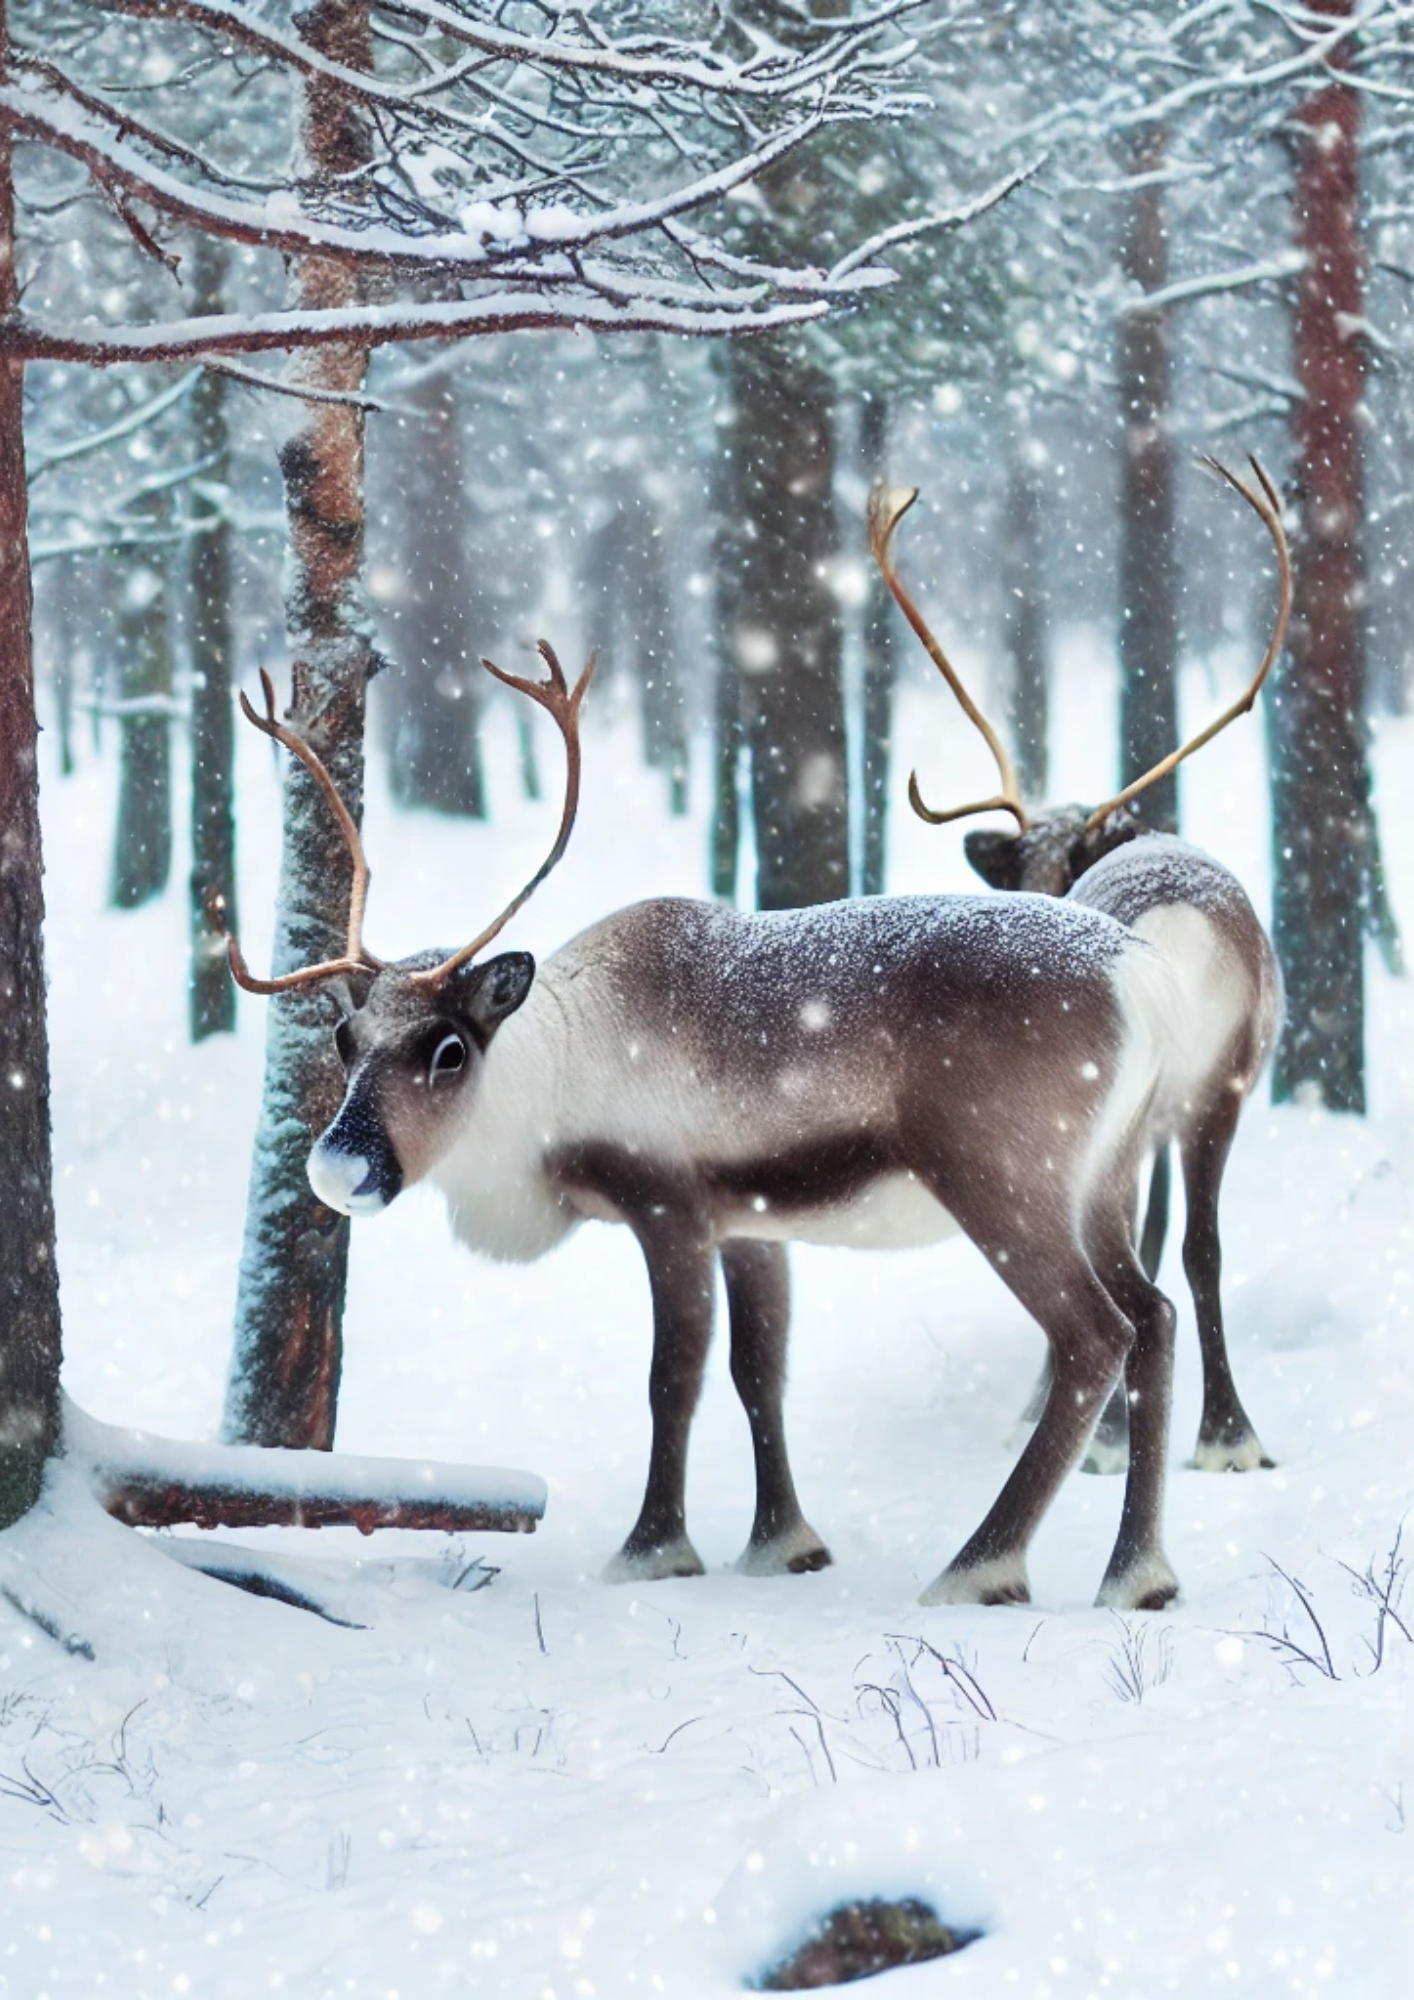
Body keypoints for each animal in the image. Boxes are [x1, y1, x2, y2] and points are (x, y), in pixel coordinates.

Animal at [218, 645, 1203, 1614]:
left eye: (449, 1048)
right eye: (347, 1039)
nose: (338, 1170)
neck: (555, 1078)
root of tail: (1147, 979)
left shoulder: (669, 1209)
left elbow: (675, 1378)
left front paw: (653, 1550)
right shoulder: (752, 1225)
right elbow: (758, 1371)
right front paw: (783, 1544)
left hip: (1004, 1184)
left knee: (1095, 1334)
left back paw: (981, 1566)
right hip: (1106, 1182)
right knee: (1154, 1316)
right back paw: (1139, 1574)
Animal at [869, 457, 1289, 1478]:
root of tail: (1177, 926)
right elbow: (1180, 1235)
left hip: (1117, 1112)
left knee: (1129, 1261)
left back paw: (1109, 1434)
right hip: (1211, 1092)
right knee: (1197, 1246)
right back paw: (1227, 1433)